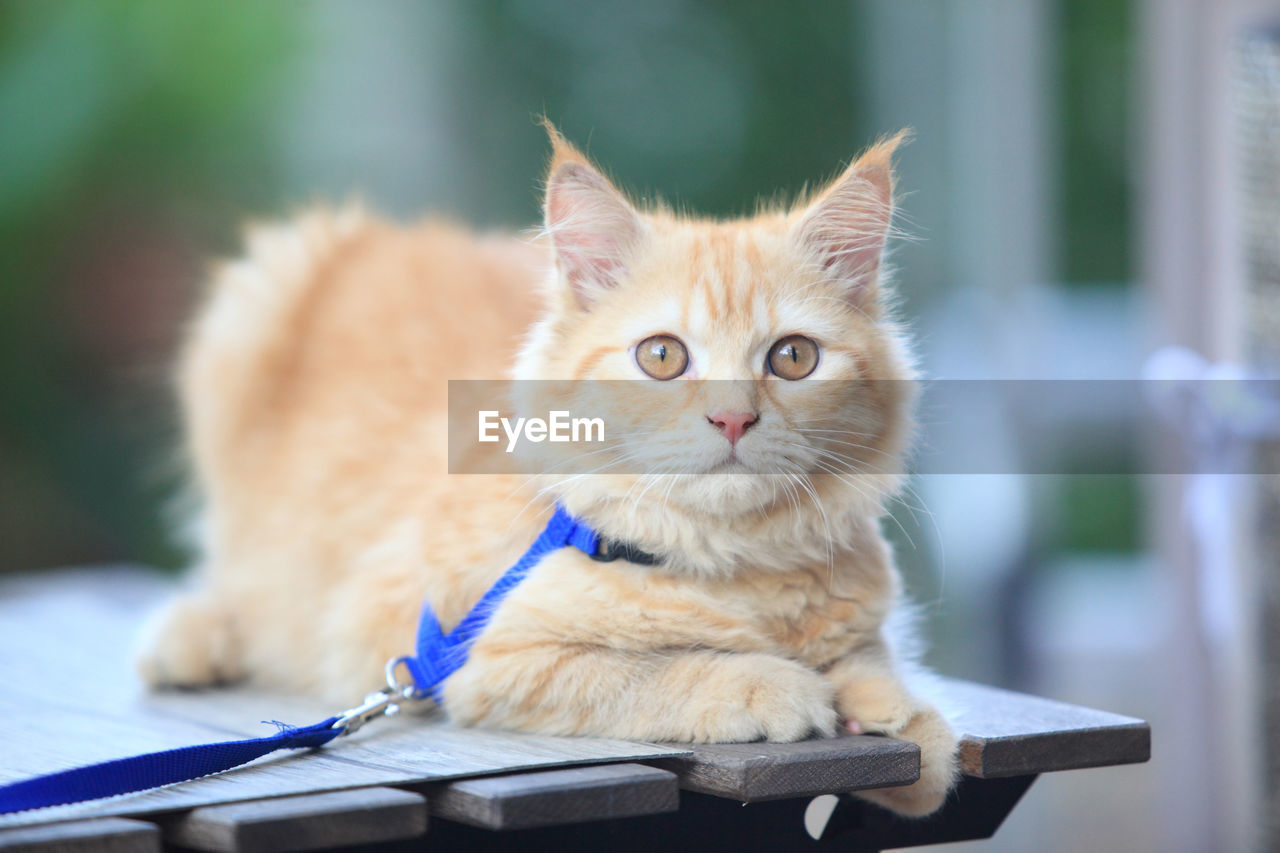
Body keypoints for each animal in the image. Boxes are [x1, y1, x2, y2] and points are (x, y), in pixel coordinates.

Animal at [140, 124, 962, 809]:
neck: (728, 567)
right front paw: (776, 686)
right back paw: (190, 640)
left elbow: (904, 708)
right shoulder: (478, 660)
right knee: (227, 574)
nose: (732, 418)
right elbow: (660, 671)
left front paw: (887, 708)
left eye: (792, 357)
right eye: (662, 356)